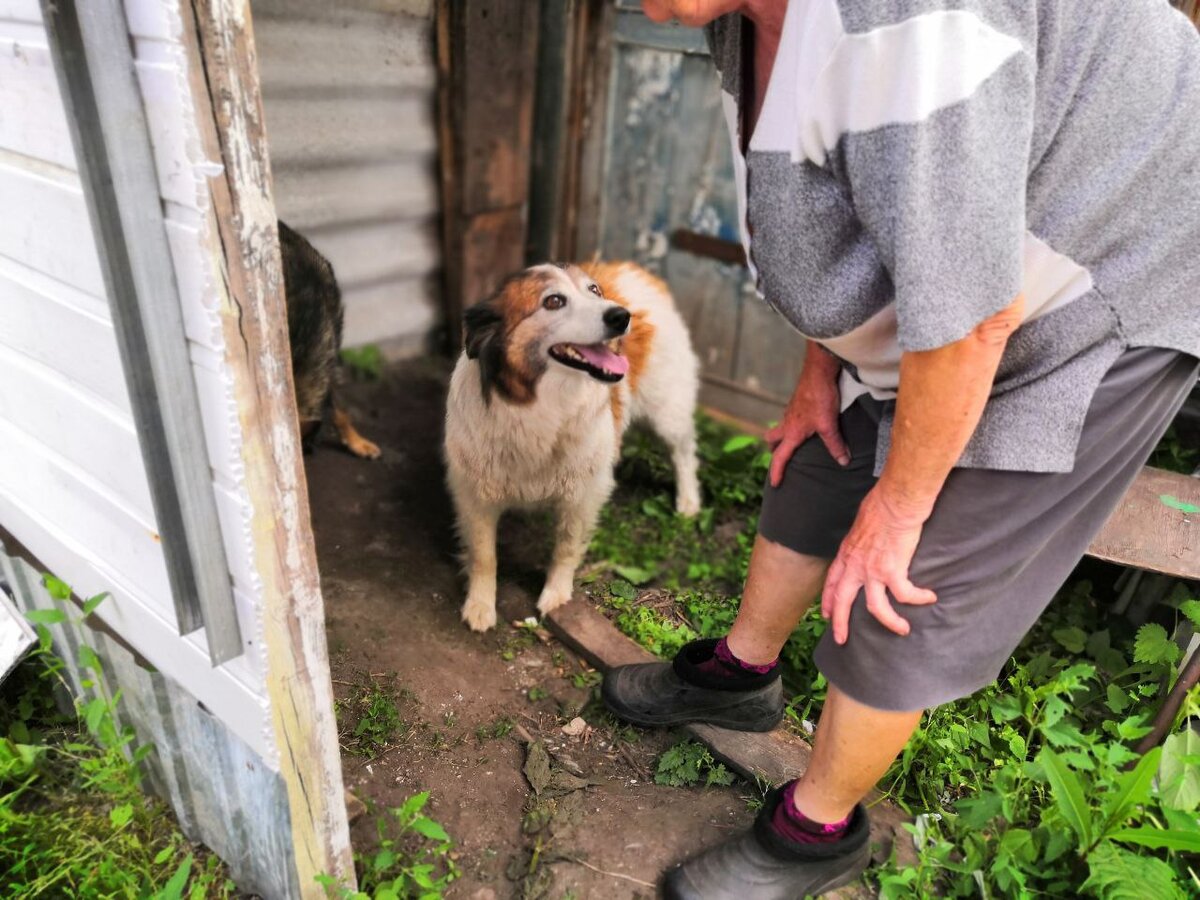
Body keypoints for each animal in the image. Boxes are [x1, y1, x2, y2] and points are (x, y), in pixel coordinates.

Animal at [446, 262, 700, 633]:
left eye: (594, 291)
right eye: (553, 301)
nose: (621, 316)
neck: (541, 407)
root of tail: (633, 269)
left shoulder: (583, 494)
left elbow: (565, 548)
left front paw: (556, 596)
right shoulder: (474, 495)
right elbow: (484, 555)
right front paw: (480, 606)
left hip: (667, 412)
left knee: (684, 454)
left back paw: (688, 502)